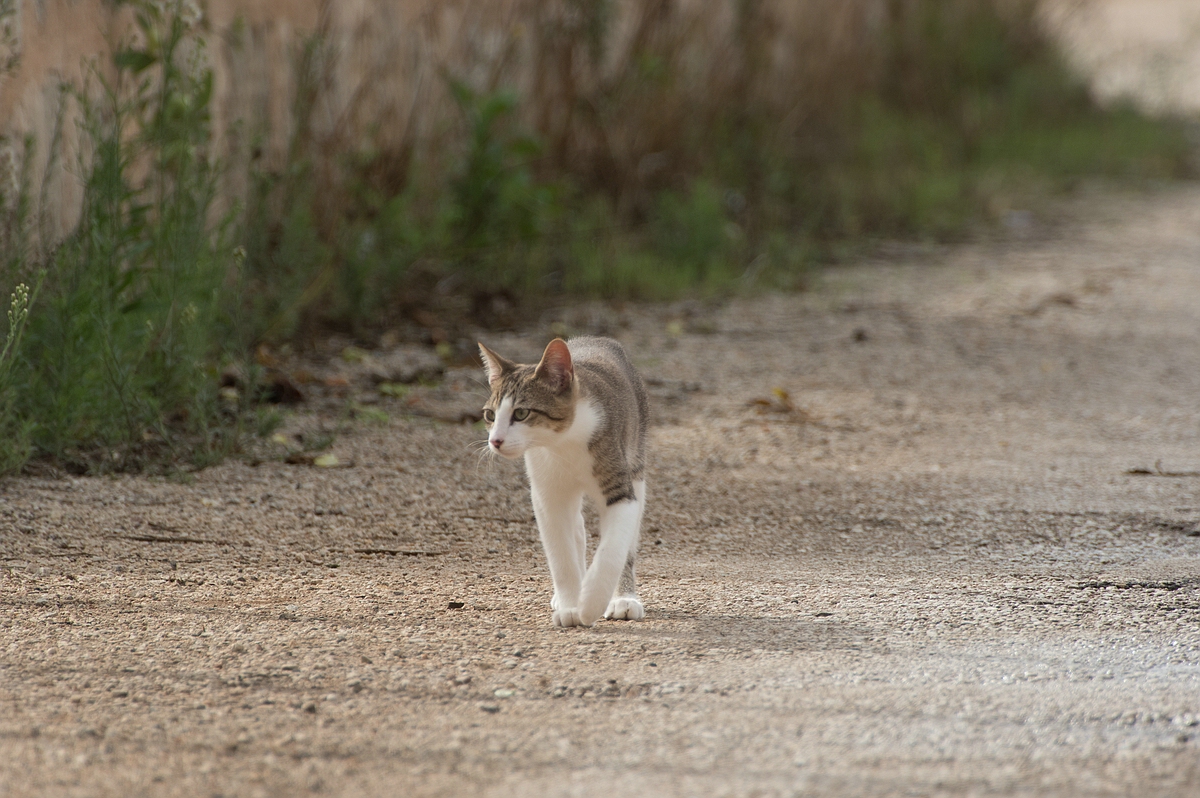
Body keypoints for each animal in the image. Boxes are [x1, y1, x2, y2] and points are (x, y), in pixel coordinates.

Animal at [477, 333, 652, 624]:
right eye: (490, 415)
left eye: (521, 413)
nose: (495, 441)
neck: (563, 443)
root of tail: (595, 338)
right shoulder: (546, 493)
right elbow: (560, 553)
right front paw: (571, 606)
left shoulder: (620, 489)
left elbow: (613, 549)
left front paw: (591, 603)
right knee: (576, 527)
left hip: (636, 456)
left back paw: (623, 599)